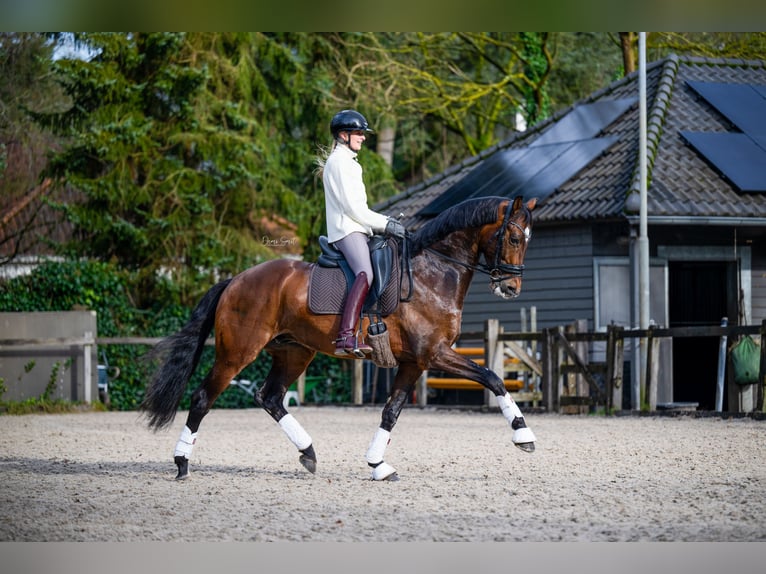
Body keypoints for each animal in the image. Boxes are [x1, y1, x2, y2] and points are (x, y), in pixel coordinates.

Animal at [140, 195, 537, 481]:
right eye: (514, 237)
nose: (512, 287)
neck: (432, 274)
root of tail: (236, 280)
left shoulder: (414, 362)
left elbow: (391, 412)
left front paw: (378, 465)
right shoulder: (435, 354)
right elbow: (492, 376)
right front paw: (523, 435)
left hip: (295, 353)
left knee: (270, 397)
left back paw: (308, 453)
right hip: (237, 353)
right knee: (203, 398)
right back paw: (181, 463)